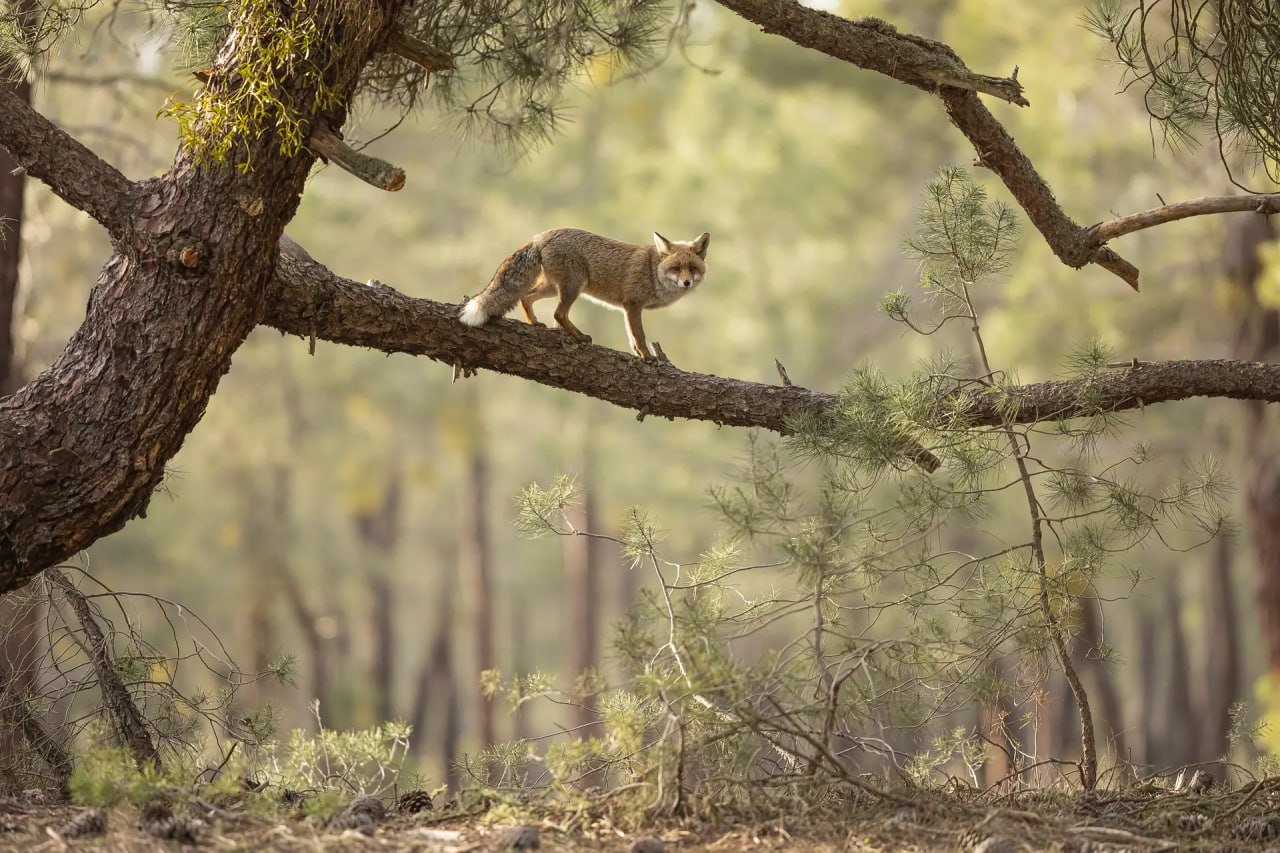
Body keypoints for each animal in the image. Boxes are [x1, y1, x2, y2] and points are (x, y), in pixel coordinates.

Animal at [458, 227, 711, 356]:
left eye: (692, 269)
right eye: (676, 268)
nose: (686, 283)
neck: (652, 271)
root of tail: (541, 236)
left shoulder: (627, 309)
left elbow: (631, 338)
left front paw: (639, 356)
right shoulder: (632, 305)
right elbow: (639, 336)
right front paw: (647, 358)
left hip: (552, 288)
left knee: (526, 297)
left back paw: (536, 323)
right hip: (572, 287)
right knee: (559, 314)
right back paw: (579, 337)